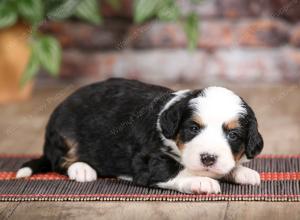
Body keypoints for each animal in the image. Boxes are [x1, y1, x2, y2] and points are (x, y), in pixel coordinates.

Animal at [17, 78, 264, 194]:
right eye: (193, 128)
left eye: (233, 135)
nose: (208, 158)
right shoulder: (147, 160)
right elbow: (175, 169)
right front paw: (201, 180)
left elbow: (228, 165)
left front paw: (243, 171)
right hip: (64, 135)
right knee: (59, 161)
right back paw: (82, 169)